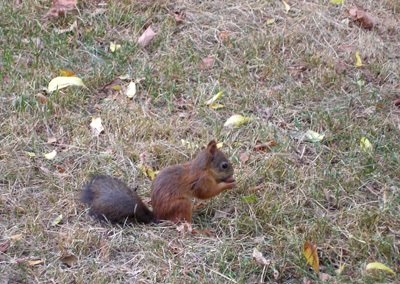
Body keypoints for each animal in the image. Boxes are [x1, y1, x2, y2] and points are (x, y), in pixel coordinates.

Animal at [82, 140, 238, 224]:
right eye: (224, 165)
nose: (232, 172)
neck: (203, 169)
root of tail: (158, 218)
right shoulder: (201, 181)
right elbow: (207, 192)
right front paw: (229, 184)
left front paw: (230, 180)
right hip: (181, 205)